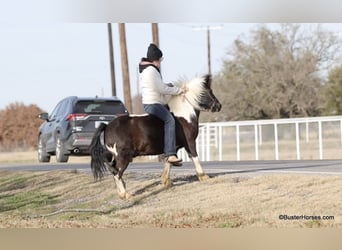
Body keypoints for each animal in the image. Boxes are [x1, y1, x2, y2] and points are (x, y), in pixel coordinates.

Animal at [88, 74, 222, 199]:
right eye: (208, 91)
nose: (219, 106)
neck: (183, 115)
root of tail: (107, 126)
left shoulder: (173, 147)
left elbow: (169, 161)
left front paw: (166, 181)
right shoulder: (189, 142)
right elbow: (194, 157)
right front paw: (204, 176)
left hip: (114, 157)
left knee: (113, 171)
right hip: (123, 157)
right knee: (117, 173)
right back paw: (125, 195)